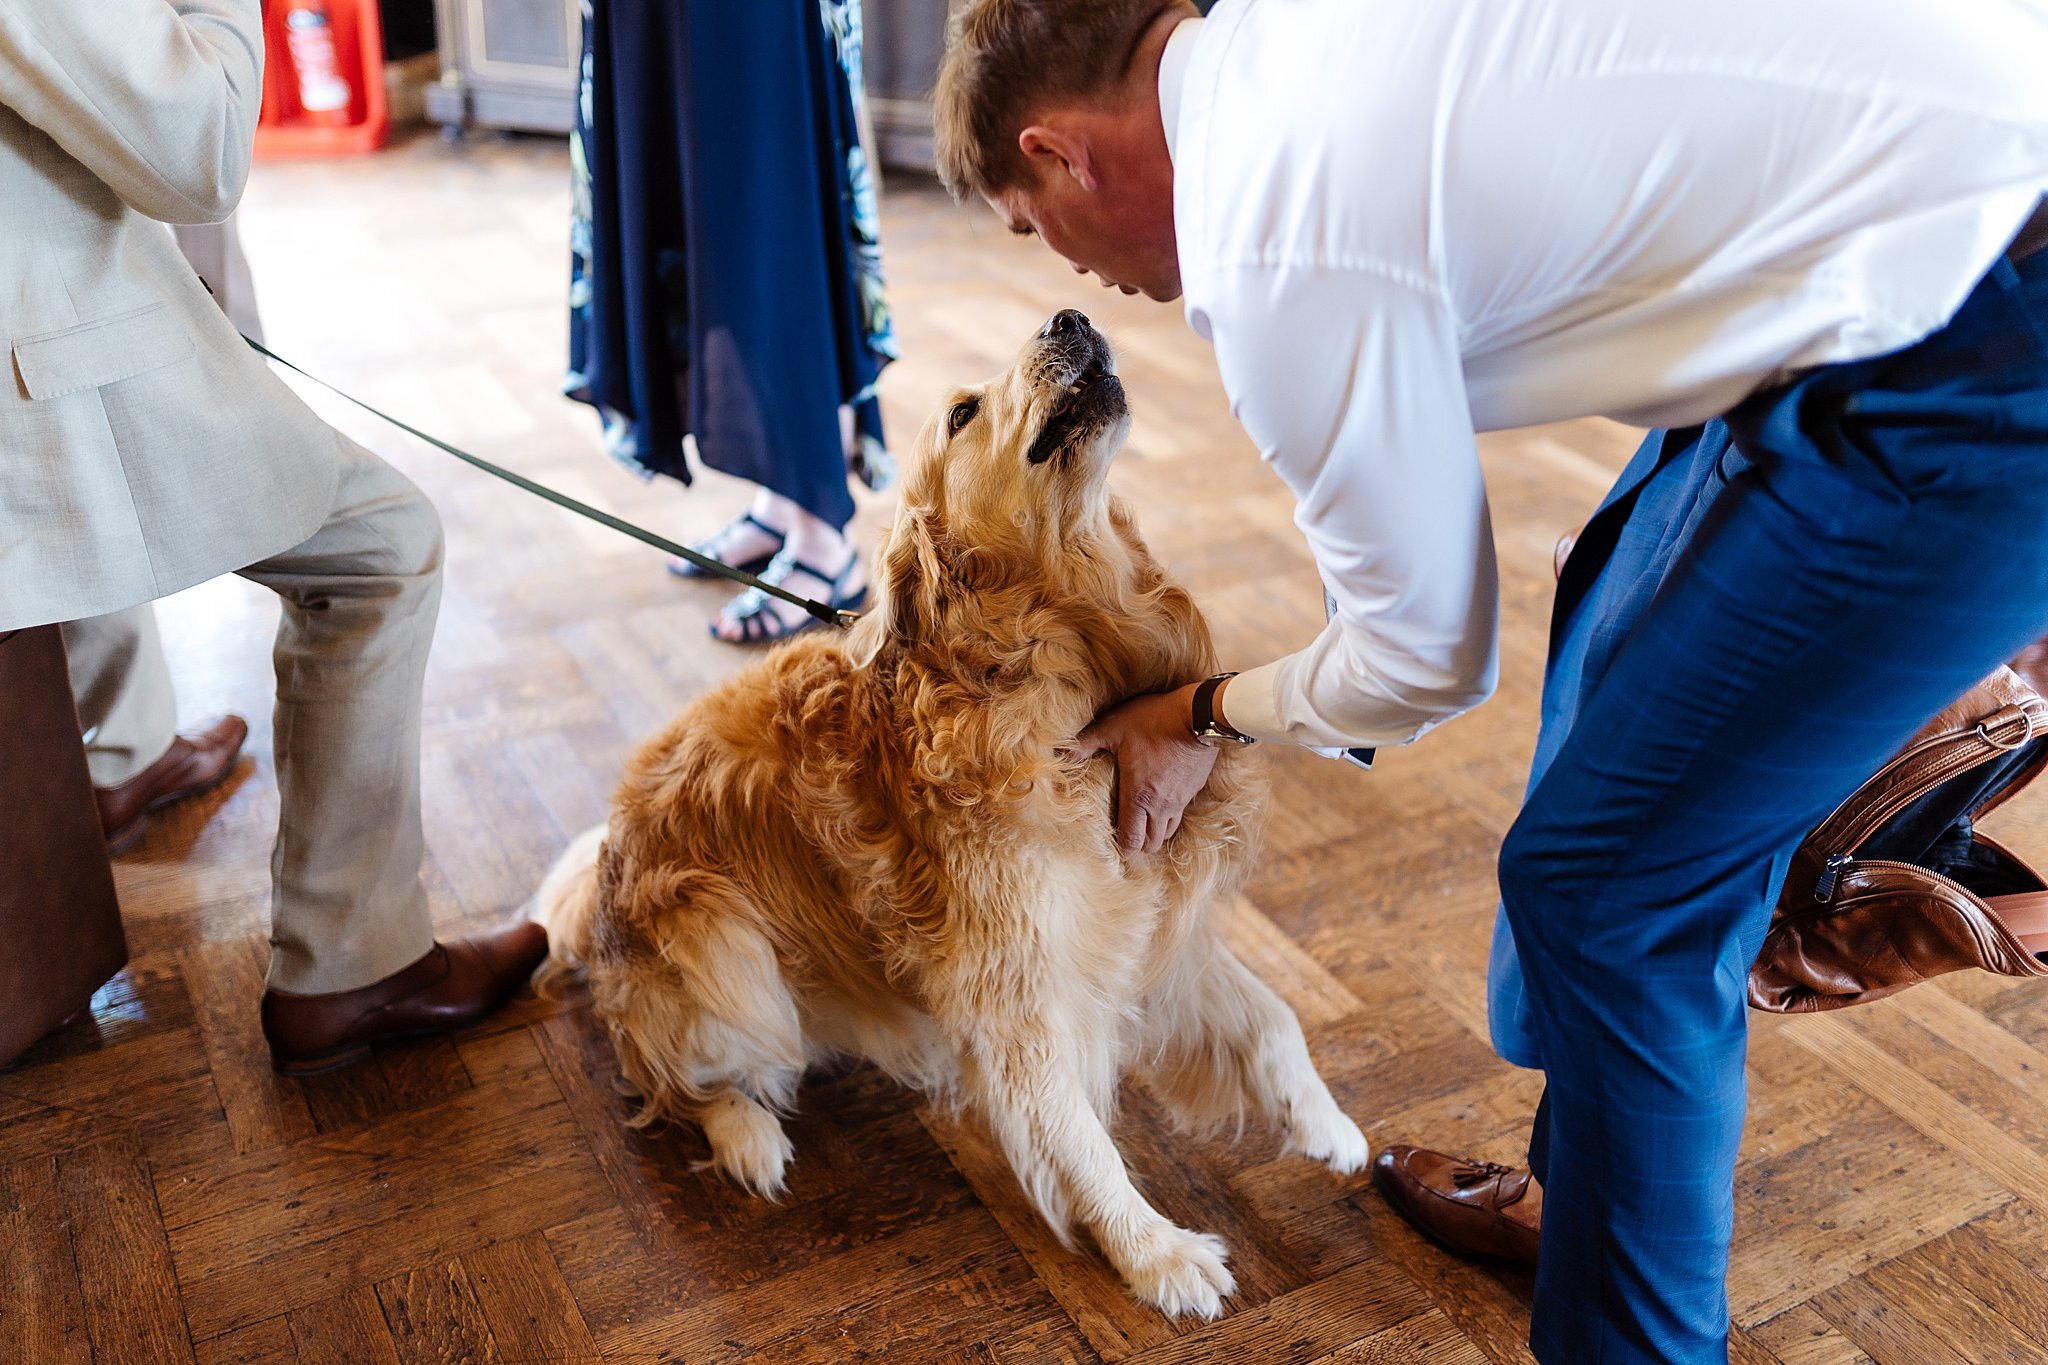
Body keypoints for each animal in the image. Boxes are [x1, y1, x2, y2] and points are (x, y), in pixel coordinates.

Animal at [544, 313, 1368, 1326]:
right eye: (964, 413)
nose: (1070, 318)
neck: (1057, 657)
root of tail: (602, 876)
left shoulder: (1144, 928)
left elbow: (1273, 1015)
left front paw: (1326, 1124)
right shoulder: (1014, 990)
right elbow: (1080, 1137)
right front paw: (1158, 1253)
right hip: (723, 947)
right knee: (670, 1074)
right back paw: (747, 1133)